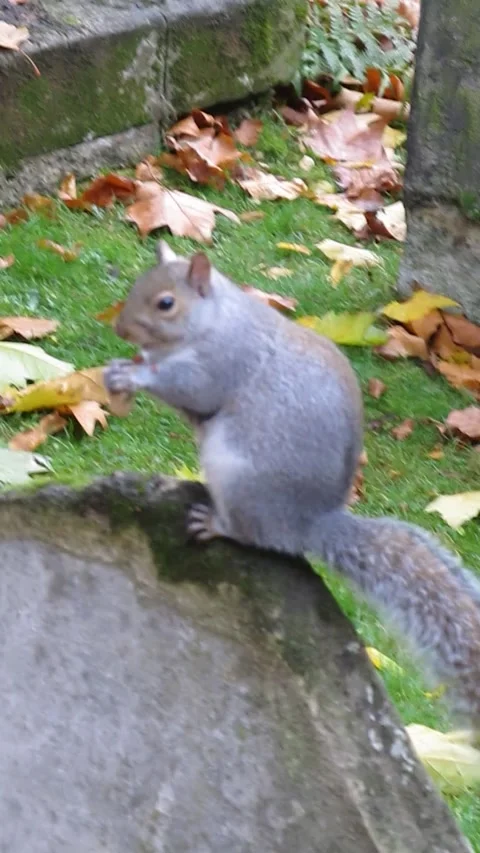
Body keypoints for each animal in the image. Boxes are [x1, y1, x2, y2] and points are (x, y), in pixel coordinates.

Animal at [104, 240, 480, 728]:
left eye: (166, 303)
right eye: (137, 285)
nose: (121, 328)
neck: (216, 318)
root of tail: (310, 524)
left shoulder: (223, 362)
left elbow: (193, 389)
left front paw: (133, 376)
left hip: (240, 480)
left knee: (254, 535)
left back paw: (217, 524)